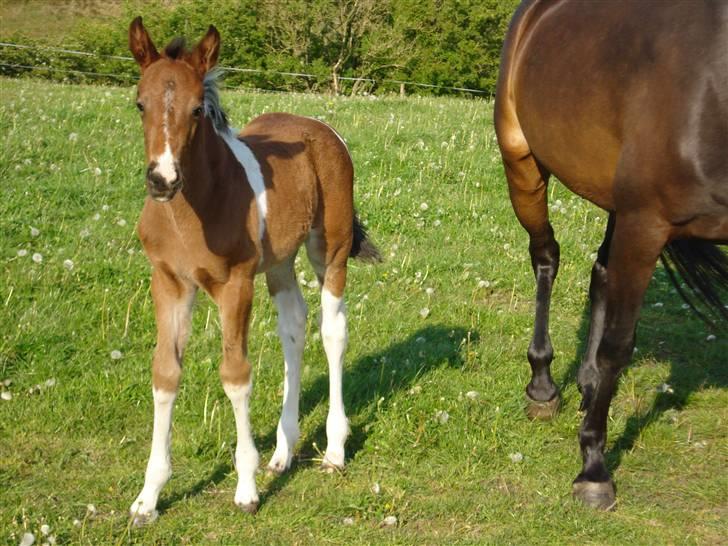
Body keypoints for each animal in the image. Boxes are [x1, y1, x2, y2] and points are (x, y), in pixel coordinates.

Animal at [127, 18, 382, 524]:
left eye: (197, 109)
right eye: (140, 103)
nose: (163, 179)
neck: (194, 209)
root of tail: (320, 127)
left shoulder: (235, 284)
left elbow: (235, 375)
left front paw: (245, 488)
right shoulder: (168, 283)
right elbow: (165, 373)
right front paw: (148, 496)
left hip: (330, 250)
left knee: (332, 330)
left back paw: (335, 450)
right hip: (279, 262)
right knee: (294, 326)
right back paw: (283, 452)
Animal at [494, 2, 728, 508]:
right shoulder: (647, 222)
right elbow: (618, 346)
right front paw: (594, 470)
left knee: (601, 272)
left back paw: (586, 384)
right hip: (522, 163)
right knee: (546, 257)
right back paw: (543, 386)